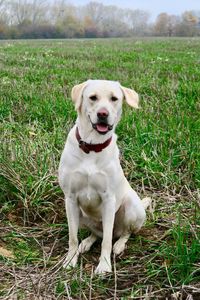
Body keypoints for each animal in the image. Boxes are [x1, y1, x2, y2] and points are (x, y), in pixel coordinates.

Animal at [58, 79, 151, 274]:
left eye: (114, 98)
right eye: (93, 97)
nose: (103, 114)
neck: (92, 147)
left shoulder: (108, 199)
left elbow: (107, 242)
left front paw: (104, 265)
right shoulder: (70, 198)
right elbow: (72, 237)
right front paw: (70, 260)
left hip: (132, 207)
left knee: (123, 233)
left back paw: (119, 245)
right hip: (82, 214)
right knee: (97, 233)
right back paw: (86, 242)